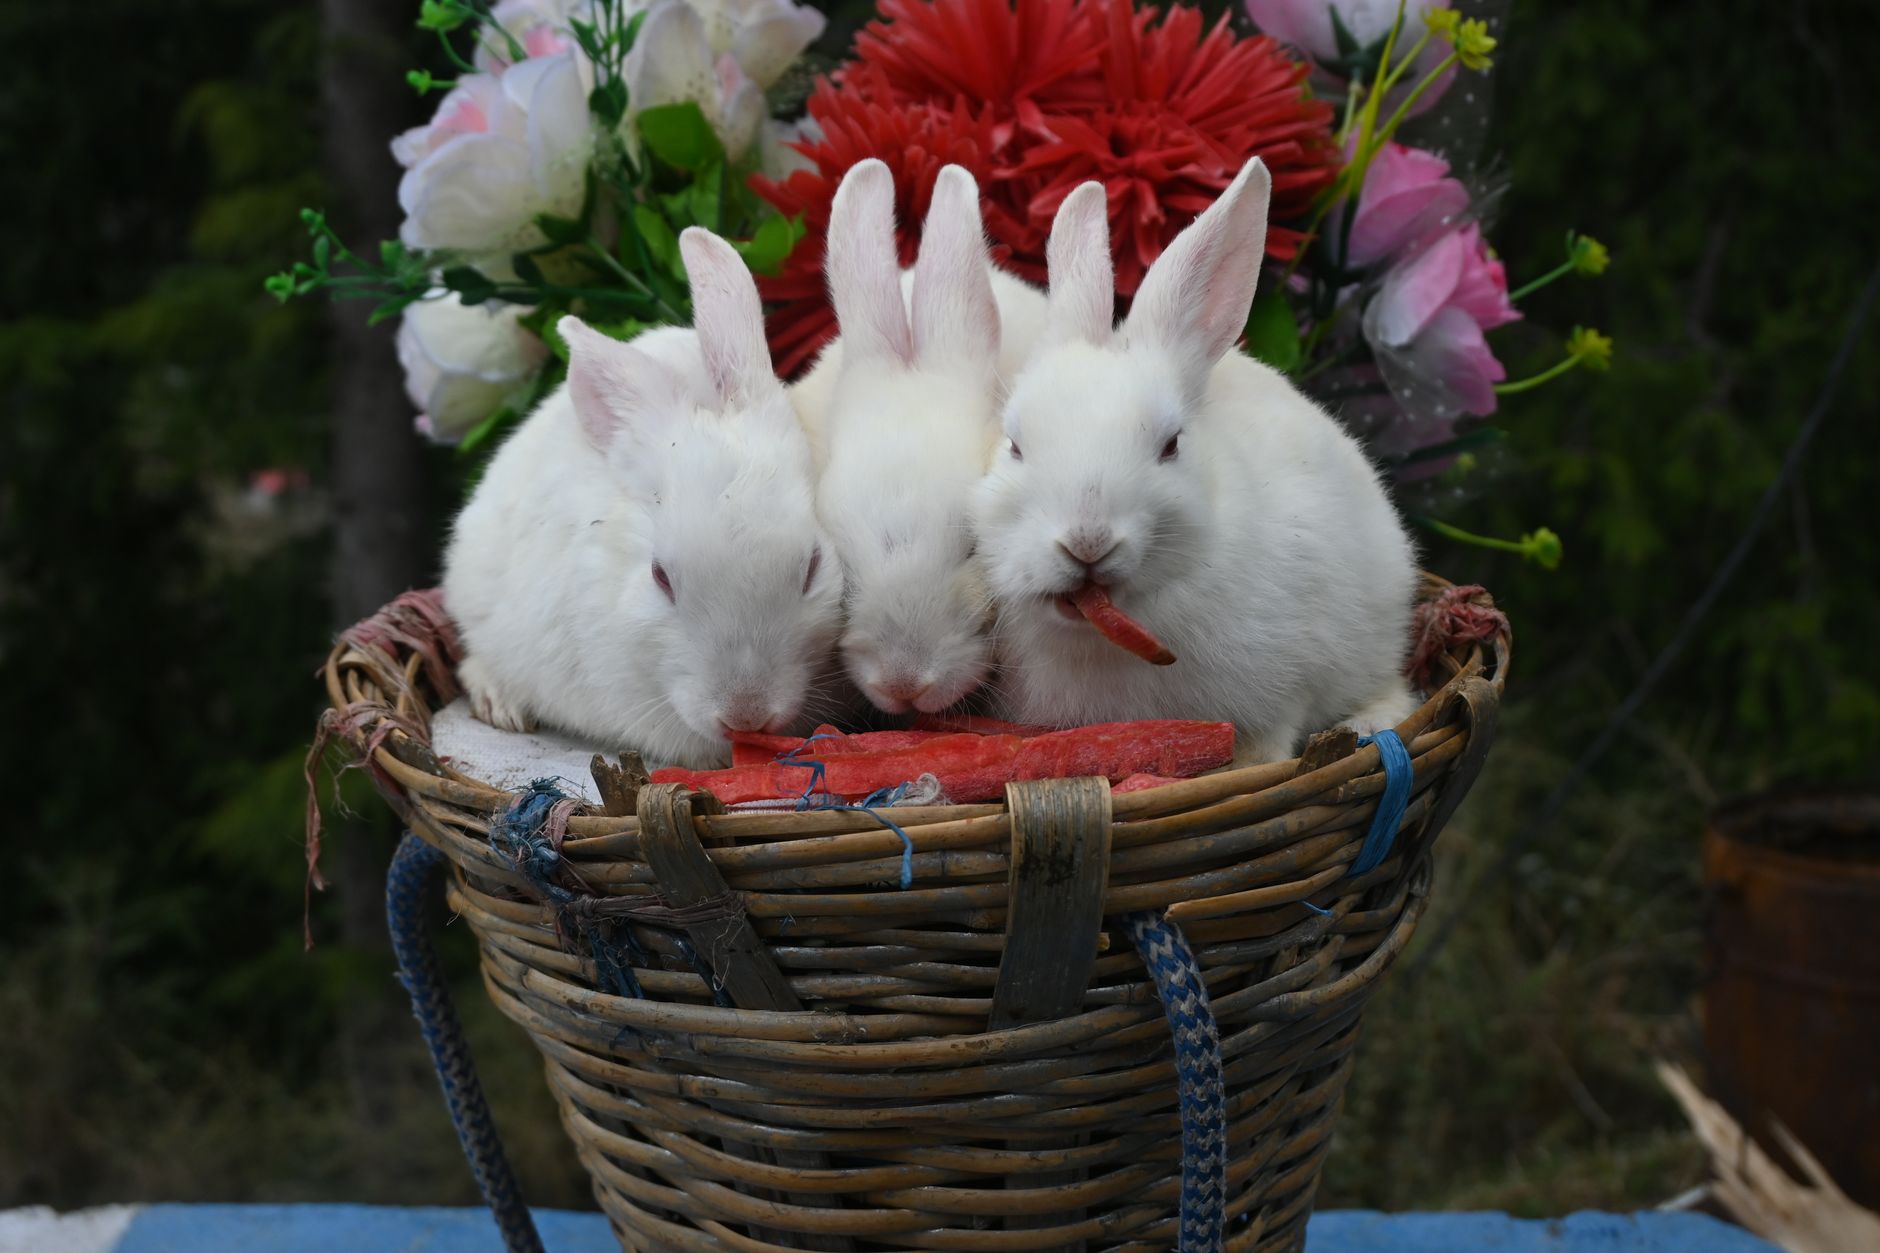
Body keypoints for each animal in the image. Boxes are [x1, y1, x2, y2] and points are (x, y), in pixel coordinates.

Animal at [970, 157, 1420, 763]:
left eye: (1170, 445)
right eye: (1015, 445)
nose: (1087, 542)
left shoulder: (1289, 684)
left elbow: (1273, 737)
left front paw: (1257, 764)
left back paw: (1374, 722)